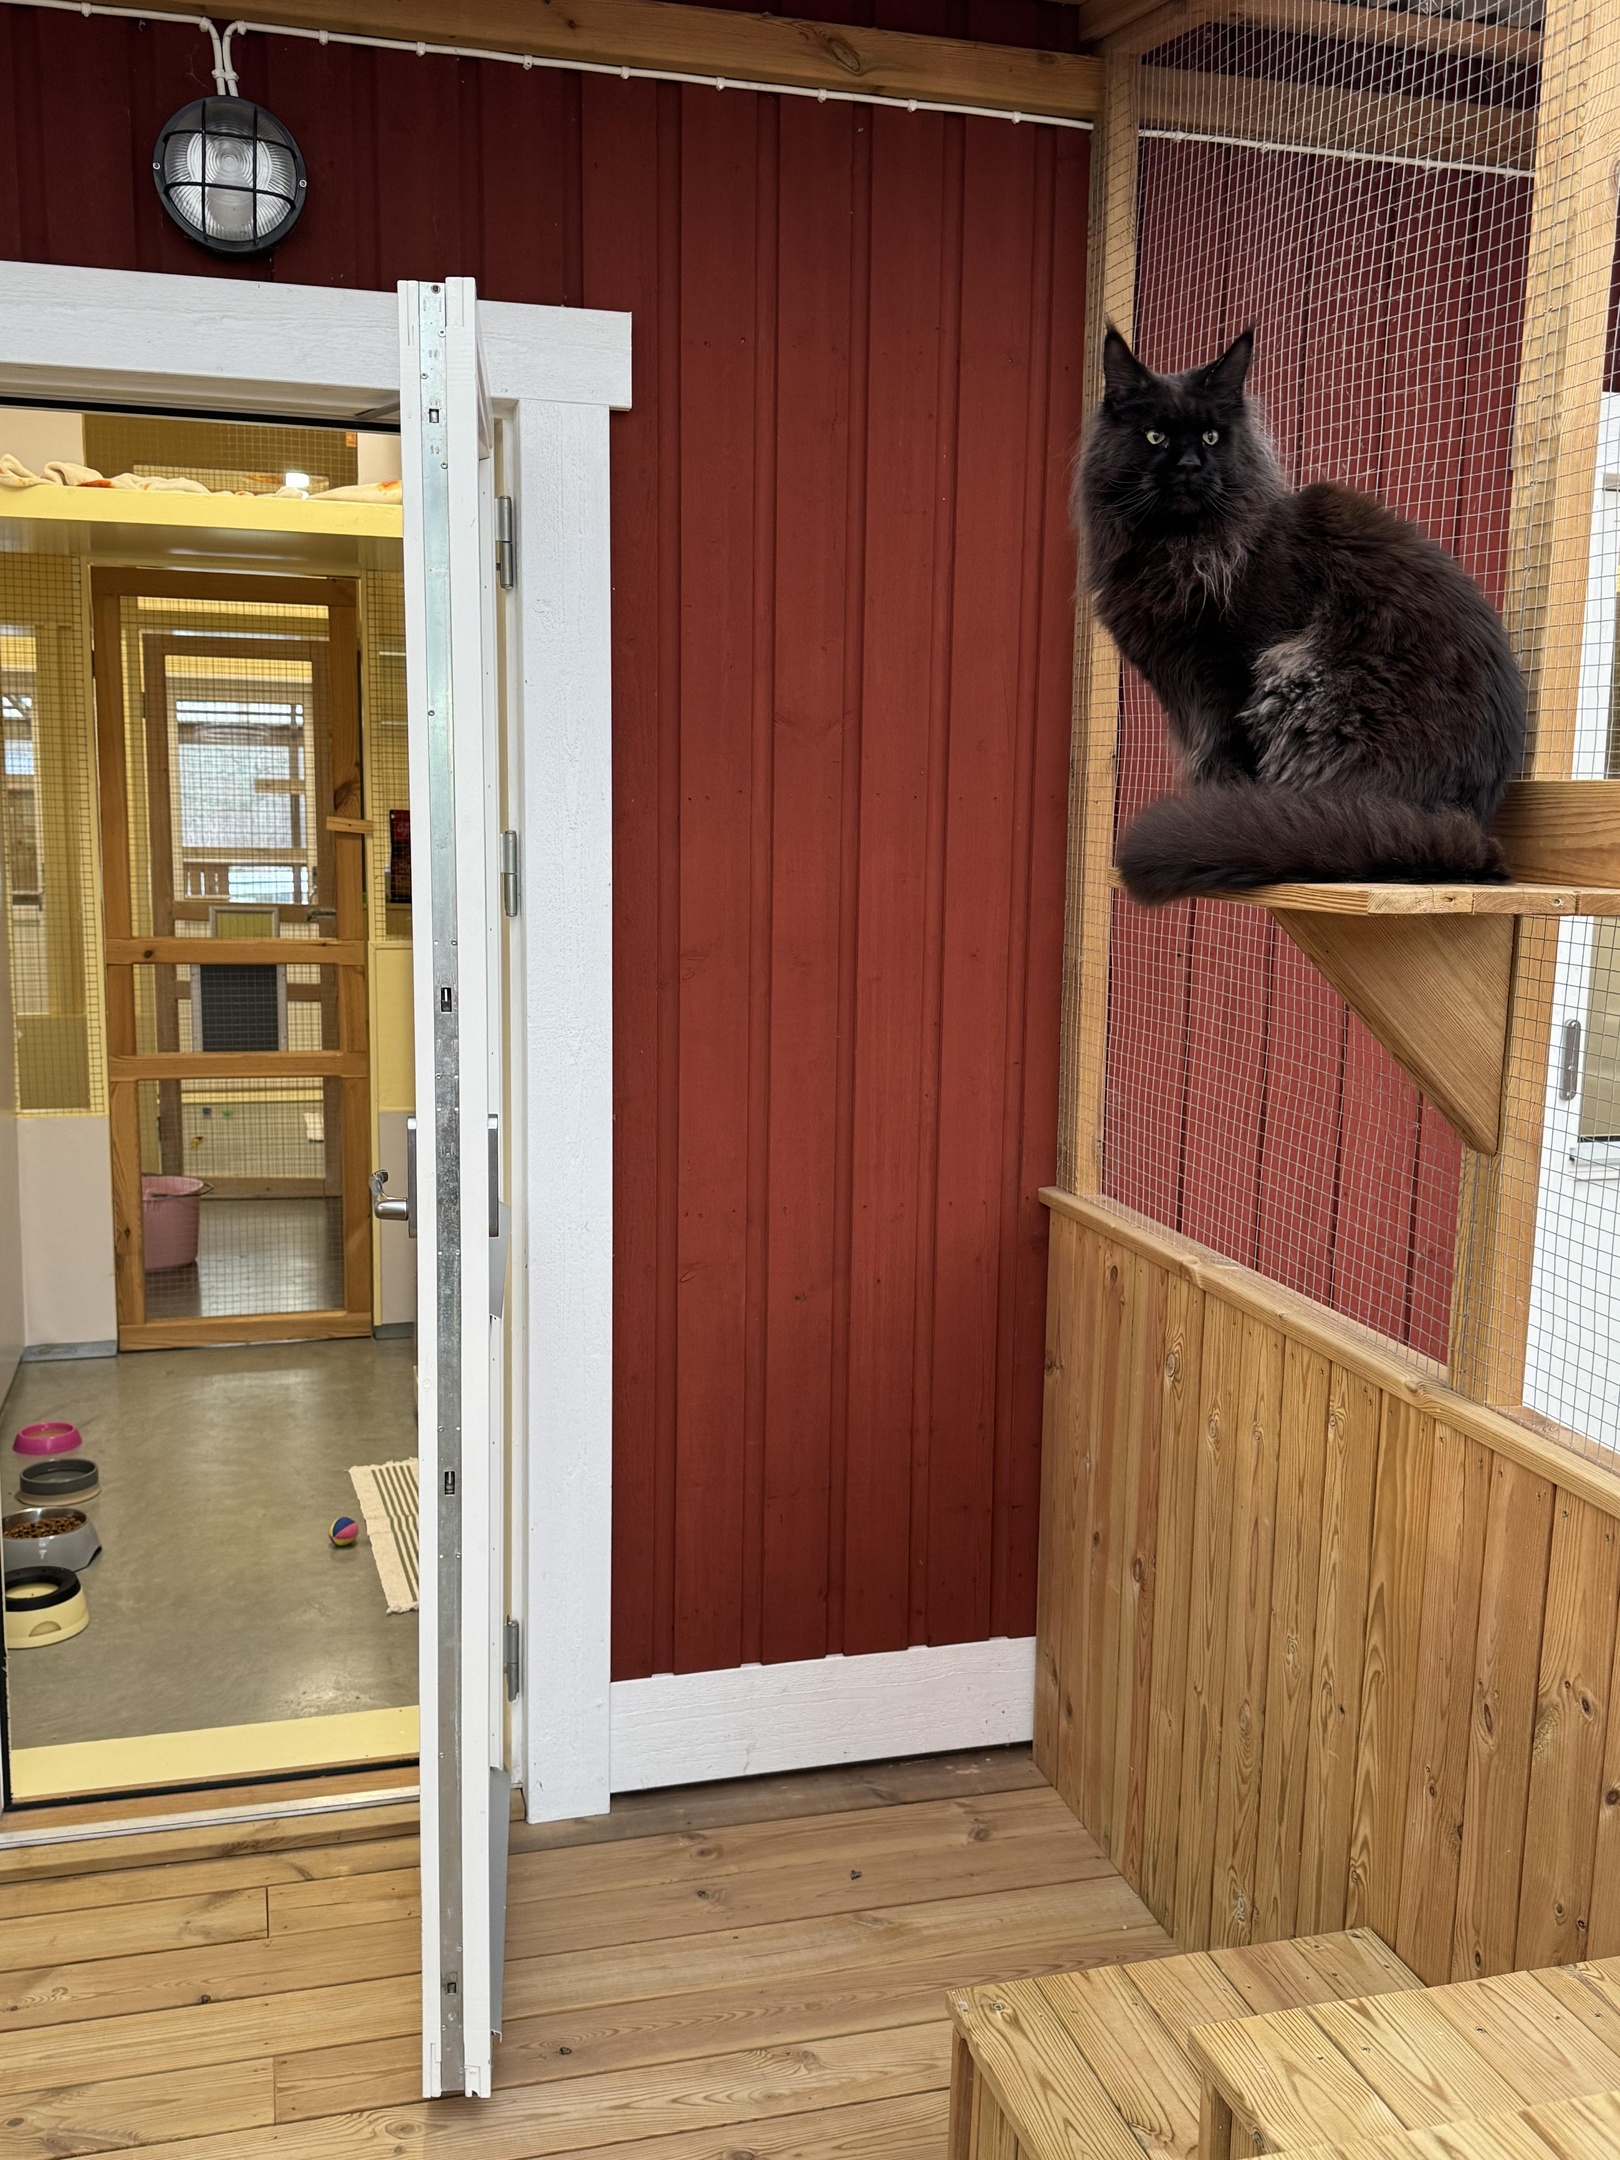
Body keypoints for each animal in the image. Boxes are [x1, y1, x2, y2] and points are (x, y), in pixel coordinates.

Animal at [1075, 326, 1526, 904]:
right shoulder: (1184, 686)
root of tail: (1465, 820)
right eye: (1155, 437)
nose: (1190, 467)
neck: (1180, 548)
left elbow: (1226, 752)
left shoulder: (1229, 675)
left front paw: (1223, 809)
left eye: (1212, 438)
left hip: (1305, 682)